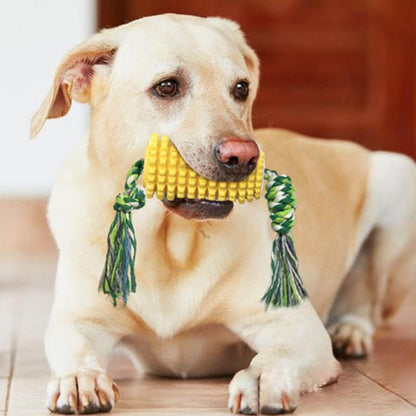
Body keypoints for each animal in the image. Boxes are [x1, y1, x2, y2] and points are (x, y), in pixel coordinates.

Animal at [30, 13, 414, 416]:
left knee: (366, 300)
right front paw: (79, 378)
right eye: (167, 87)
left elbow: (276, 354)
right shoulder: (78, 319)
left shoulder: (295, 324)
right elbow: (75, 348)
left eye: (241, 89)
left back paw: (350, 331)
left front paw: (262, 379)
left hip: (399, 177)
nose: (243, 156)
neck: (168, 244)